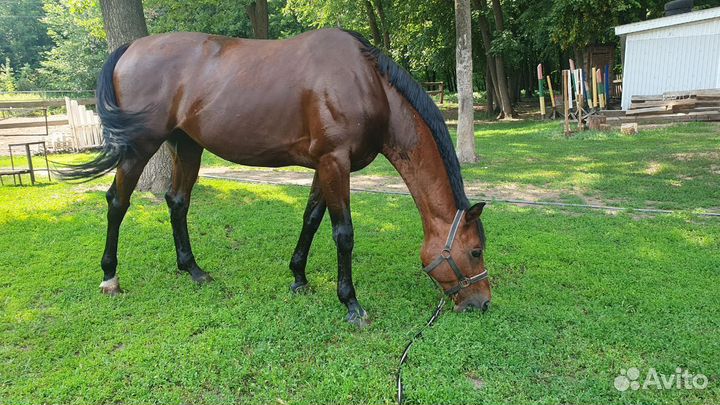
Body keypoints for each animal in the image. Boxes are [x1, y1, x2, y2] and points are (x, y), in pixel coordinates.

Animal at [61, 29, 491, 325]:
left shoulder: (326, 165)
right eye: (475, 252)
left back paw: (193, 269)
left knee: (177, 201)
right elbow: (343, 234)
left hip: (187, 146)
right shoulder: (335, 162)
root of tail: (131, 48)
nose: (482, 302)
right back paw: (110, 277)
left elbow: (312, 219)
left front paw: (299, 277)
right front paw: (351, 303)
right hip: (139, 146)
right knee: (118, 202)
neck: (367, 84)